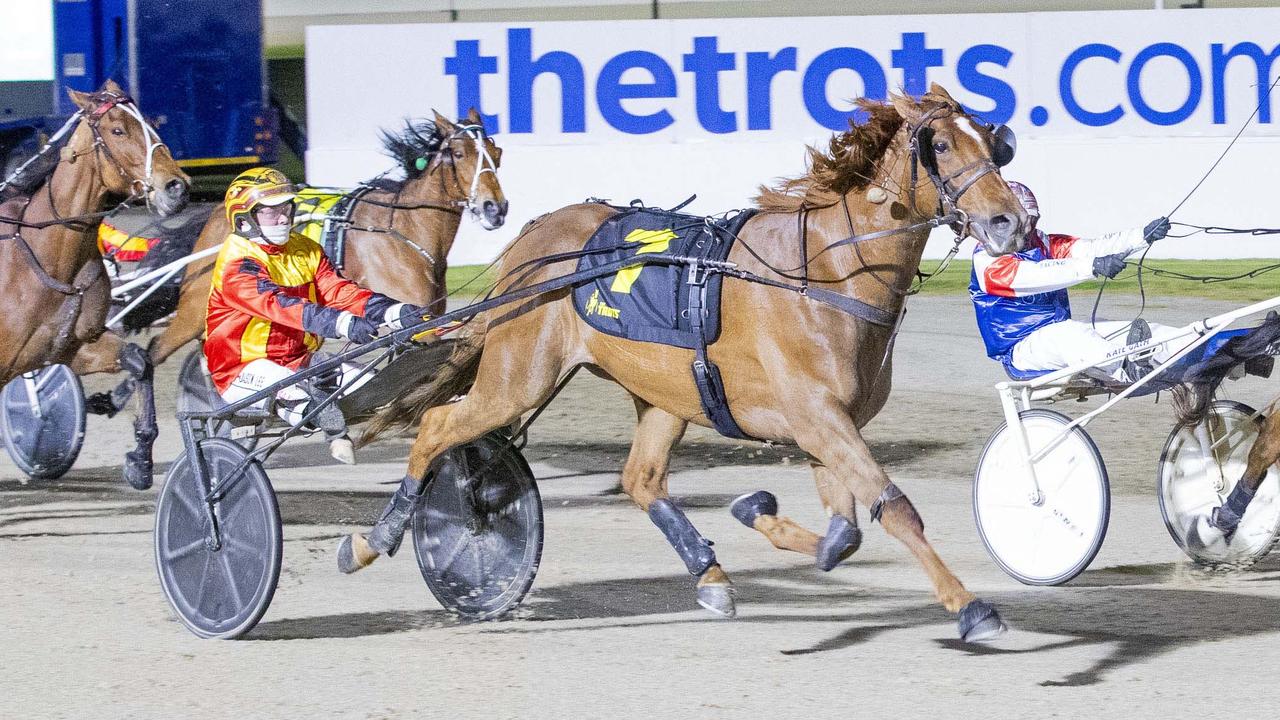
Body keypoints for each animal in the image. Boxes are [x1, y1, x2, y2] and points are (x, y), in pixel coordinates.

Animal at [0, 79, 189, 486]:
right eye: (117, 130)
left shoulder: (71, 348)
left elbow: (139, 361)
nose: (177, 187)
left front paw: (140, 458)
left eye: (149, 124)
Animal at [345, 83, 1024, 638]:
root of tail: (528, 244)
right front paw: (968, 605)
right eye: (940, 144)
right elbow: (895, 510)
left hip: (665, 394)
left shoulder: (824, 427)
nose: (1010, 221)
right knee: (438, 427)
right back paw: (374, 539)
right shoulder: (818, 418)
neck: (826, 271)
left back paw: (710, 574)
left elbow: (844, 535)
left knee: (641, 480)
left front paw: (758, 513)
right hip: (518, 377)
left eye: (994, 144)